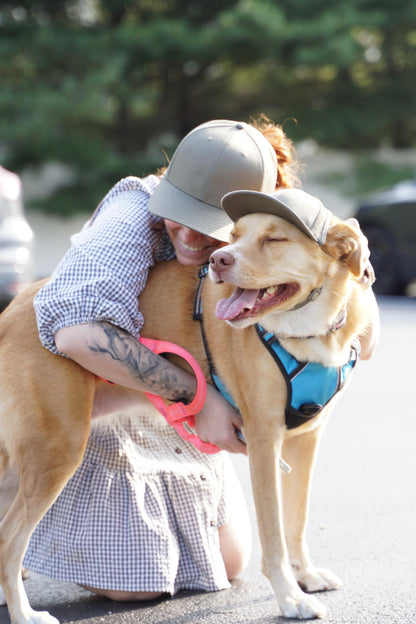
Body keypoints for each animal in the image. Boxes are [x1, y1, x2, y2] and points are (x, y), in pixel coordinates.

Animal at [0, 191, 376, 624]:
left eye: (275, 239)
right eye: (235, 236)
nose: (219, 260)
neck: (306, 332)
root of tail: (13, 309)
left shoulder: (306, 440)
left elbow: (296, 521)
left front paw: (306, 576)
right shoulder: (264, 442)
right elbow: (274, 536)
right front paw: (289, 597)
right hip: (54, 452)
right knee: (8, 540)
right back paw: (24, 613)